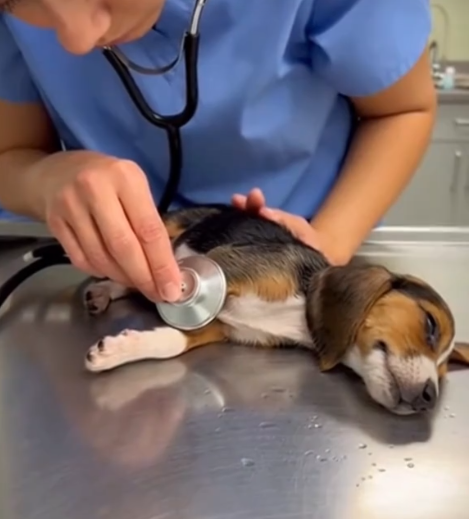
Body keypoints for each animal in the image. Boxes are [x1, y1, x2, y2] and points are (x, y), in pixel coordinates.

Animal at [82, 204, 469, 415]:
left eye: (444, 373)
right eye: (431, 325)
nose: (428, 398)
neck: (298, 313)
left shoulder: (219, 326)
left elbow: (172, 342)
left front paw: (120, 348)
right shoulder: (220, 266)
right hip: (167, 227)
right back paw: (105, 287)